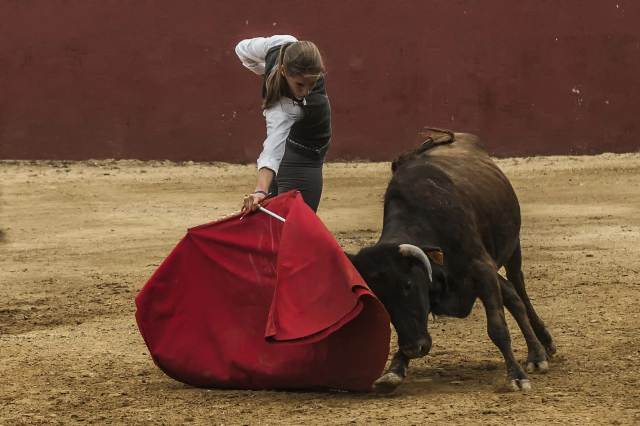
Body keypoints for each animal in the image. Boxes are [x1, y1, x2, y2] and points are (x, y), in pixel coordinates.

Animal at [344, 131, 556, 392]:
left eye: (408, 285)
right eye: (380, 298)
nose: (413, 349)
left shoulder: (482, 268)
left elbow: (497, 327)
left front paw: (516, 376)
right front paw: (395, 369)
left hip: (512, 248)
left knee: (519, 290)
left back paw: (539, 352)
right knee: (511, 294)